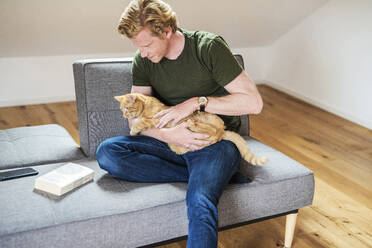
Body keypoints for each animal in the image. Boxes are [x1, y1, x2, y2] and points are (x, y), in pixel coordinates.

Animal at [113, 92, 268, 166]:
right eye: (121, 110)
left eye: (126, 108)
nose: (124, 115)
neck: (147, 107)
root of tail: (222, 133)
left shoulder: (158, 119)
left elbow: (142, 122)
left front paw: (133, 130)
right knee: (212, 131)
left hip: (204, 119)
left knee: (212, 130)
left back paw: (192, 123)